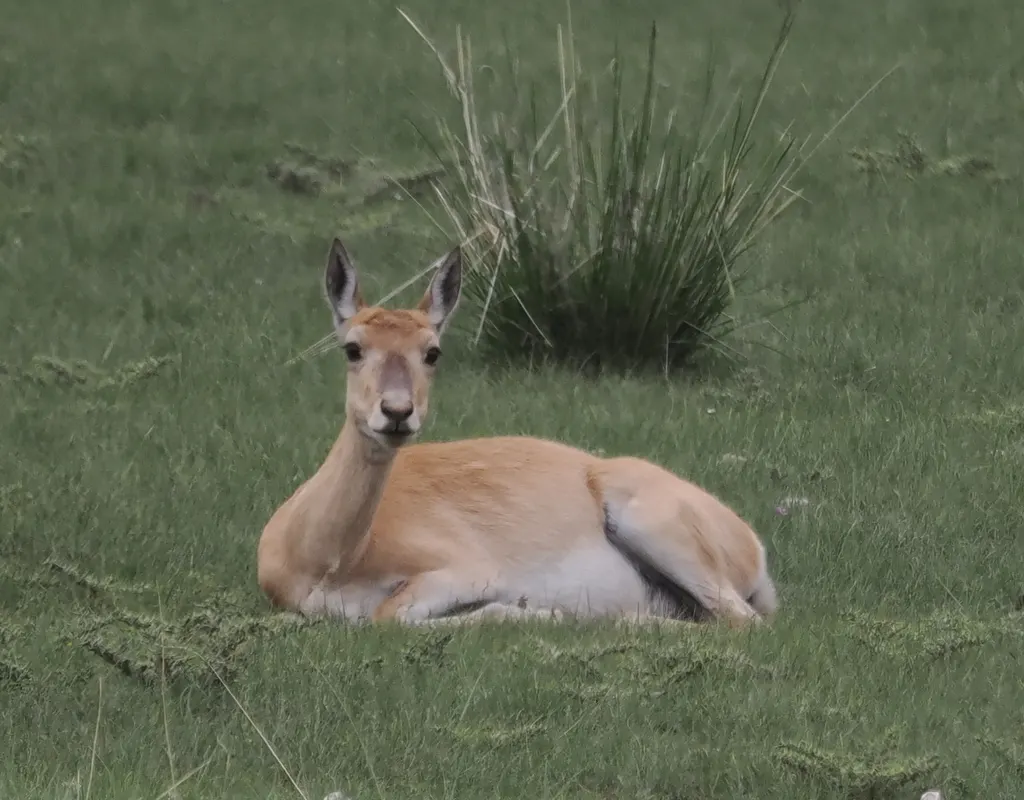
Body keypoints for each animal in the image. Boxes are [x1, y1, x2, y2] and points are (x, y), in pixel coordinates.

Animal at [257, 237, 779, 628]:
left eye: (432, 351)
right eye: (352, 347)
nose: (397, 412)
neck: (327, 561)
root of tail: (753, 546)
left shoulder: (468, 568)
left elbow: (392, 615)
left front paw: (535, 610)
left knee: (740, 620)